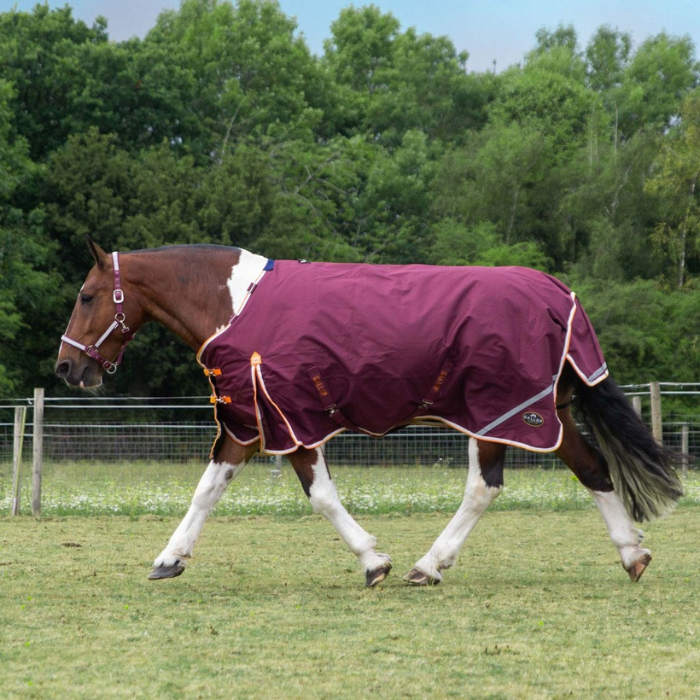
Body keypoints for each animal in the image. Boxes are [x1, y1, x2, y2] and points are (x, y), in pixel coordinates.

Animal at [56, 236, 682, 587]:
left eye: (86, 296)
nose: (67, 367)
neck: (234, 306)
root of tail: (559, 295)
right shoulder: (251, 424)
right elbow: (207, 490)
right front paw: (170, 559)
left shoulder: (287, 421)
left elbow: (321, 498)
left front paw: (372, 562)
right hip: (538, 414)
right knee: (592, 469)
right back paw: (633, 555)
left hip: (497, 415)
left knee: (484, 489)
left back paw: (428, 566)